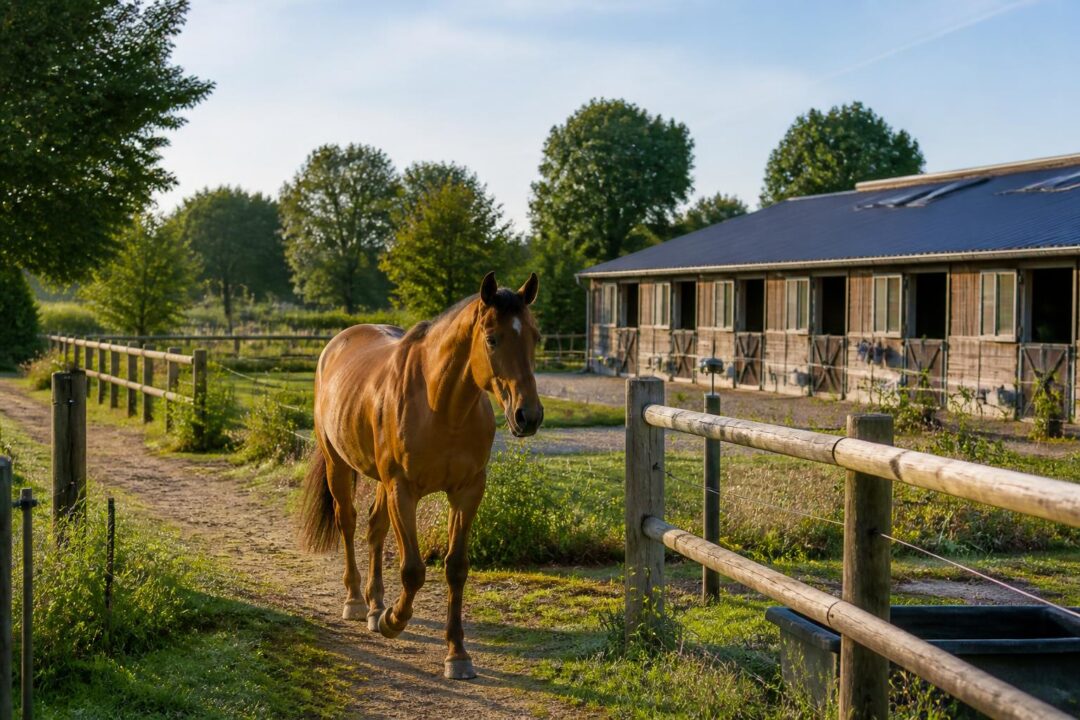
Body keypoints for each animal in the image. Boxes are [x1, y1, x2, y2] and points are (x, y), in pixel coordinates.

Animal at [299, 271, 543, 680]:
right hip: (339, 465)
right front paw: (394, 621)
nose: (529, 416)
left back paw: (374, 603)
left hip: (381, 482)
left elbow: (456, 568)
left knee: (374, 528)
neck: (440, 406)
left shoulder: (467, 491)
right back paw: (356, 601)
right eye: (492, 338)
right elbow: (413, 570)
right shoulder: (403, 489)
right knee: (348, 522)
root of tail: (335, 344)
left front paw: (457, 653)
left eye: (535, 337)